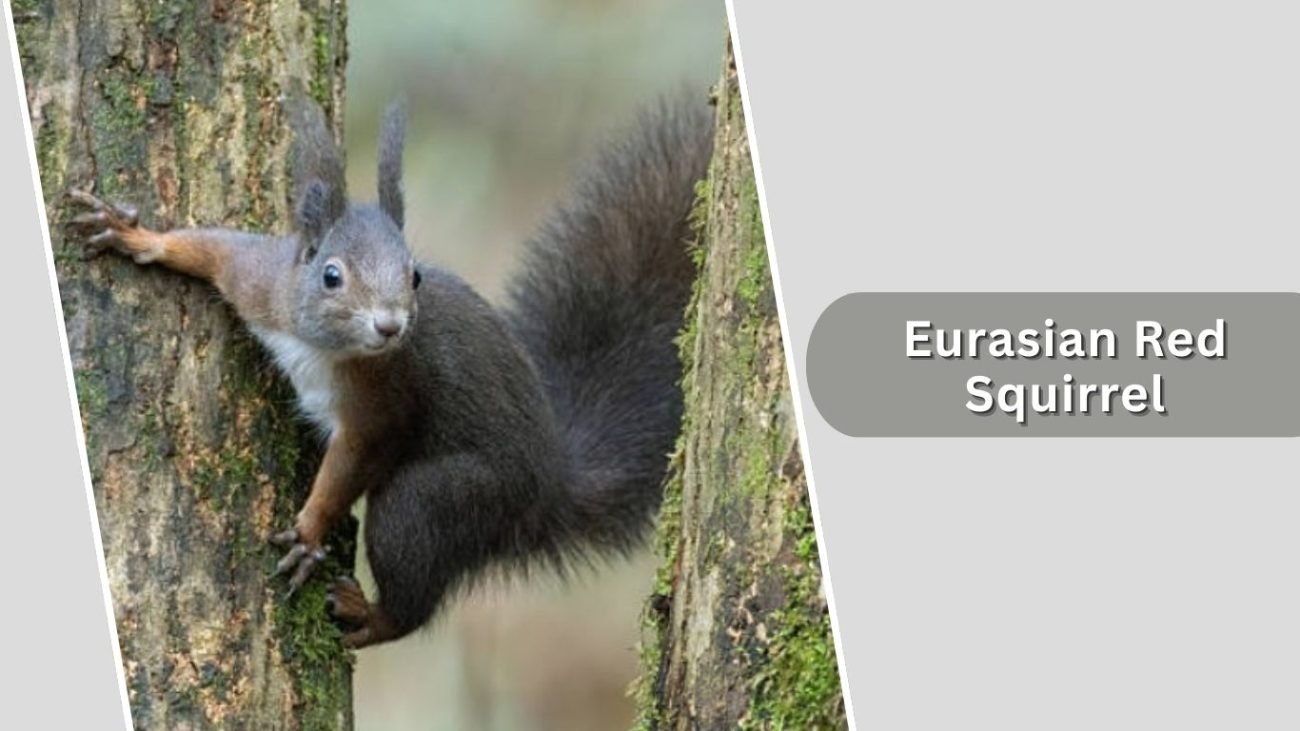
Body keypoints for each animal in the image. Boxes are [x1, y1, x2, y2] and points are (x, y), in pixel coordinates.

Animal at [68, 94, 714, 649]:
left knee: (412, 593)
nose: (390, 326)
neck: (321, 346)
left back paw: (371, 616)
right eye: (331, 275)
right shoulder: (260, 284)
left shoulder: (385, 398)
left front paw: (309, 532)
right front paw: (132, 234)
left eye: (414, 275)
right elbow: (213, 248)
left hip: (439, 499)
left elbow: (357, 457)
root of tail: (548, 490)